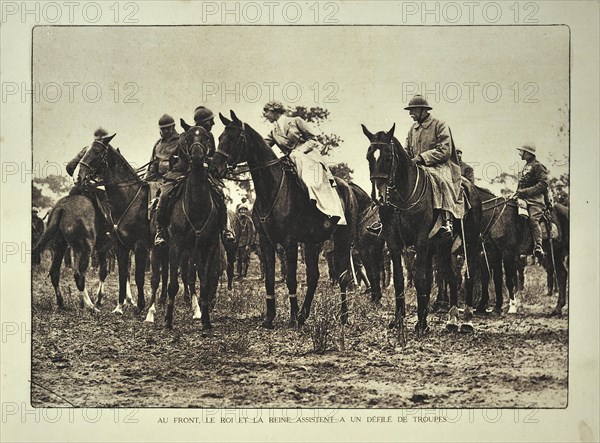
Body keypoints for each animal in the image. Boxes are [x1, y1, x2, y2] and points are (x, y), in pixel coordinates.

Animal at [77, 134, 149, 314]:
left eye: (96, 152)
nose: (79, 177)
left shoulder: (139, 245)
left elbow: (136, 275)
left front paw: (138, 304)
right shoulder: (117, 246)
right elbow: (121, 273)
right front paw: (118, 305)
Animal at [210, 112, 356, 330]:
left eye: (235, 137)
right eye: (220, 137)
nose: (214, 168)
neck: (272, 189)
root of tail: (348, 187)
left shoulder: (289, 242)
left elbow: (291, 280)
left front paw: (292, 317)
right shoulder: (266, 241)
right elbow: (269, 279)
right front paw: (270, 318)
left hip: (342, 240)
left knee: (344, 276)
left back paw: (343, 317)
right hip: (313, 243)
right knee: (314, 277)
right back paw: (304, 315)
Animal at [360, 124, 482, 332]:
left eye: (388, 157)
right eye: (369, 157)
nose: (379, 197)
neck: (403, 196)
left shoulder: (421, 240)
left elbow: (420, 278)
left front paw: (421, 323)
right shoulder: (394, 242)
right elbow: (400, 280)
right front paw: (398, 320)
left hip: (470, 243)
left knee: (469, 275)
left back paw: (466, 319)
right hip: (443, 247)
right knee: (451, 277)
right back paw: (452, 319)